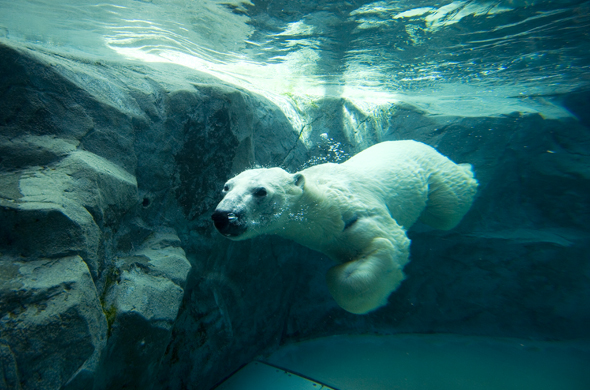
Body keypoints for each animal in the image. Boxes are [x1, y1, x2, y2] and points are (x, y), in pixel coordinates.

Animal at [213, 140, 480, 314]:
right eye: (226, 187)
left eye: (260, 191)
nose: (223, 216)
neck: (323, 204)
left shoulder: (357, 215)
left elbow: (388, 242)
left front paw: (347, 274)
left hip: (432, 172)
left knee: (447, 209)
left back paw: (468, 170)